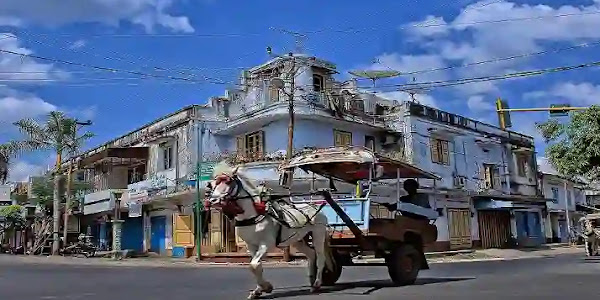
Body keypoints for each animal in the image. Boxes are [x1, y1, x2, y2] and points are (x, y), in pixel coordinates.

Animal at [205, 161, 328, 298]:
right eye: (213, 184)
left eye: (228, 182)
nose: (213, 200)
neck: (253, 214)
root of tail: (314, 206)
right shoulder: (251, 245)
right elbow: (256, 265)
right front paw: (258, 290)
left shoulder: (267, 243)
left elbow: (254, 264)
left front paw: (266, 287)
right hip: (298, 240)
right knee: (311, 254)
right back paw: (312, 279)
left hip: (318, 234)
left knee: (320, 257)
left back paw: (317, 283)